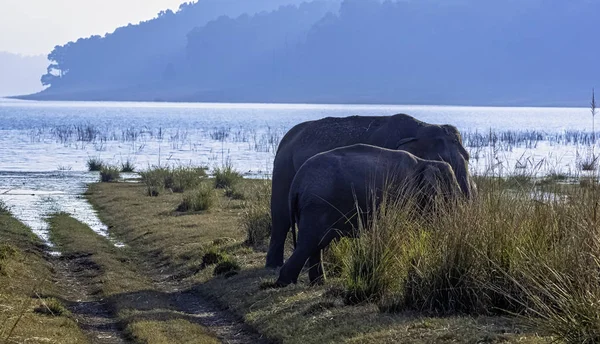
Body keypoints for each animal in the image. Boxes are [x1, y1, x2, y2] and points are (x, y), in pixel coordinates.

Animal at [268, 113, 474, 268]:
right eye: (444, 158)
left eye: (468, 156)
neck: (422, 127)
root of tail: (286, 138)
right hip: (284, 169)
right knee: (281, 217)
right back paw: (274, 265)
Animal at [274, 144, 462, 286]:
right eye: (451, 190)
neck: (424, 162)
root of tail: (296, 184)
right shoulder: (404, 196)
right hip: (317, 207)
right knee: (309, 243)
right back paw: (285, 282)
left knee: (315, 245)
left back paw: (318, 283)